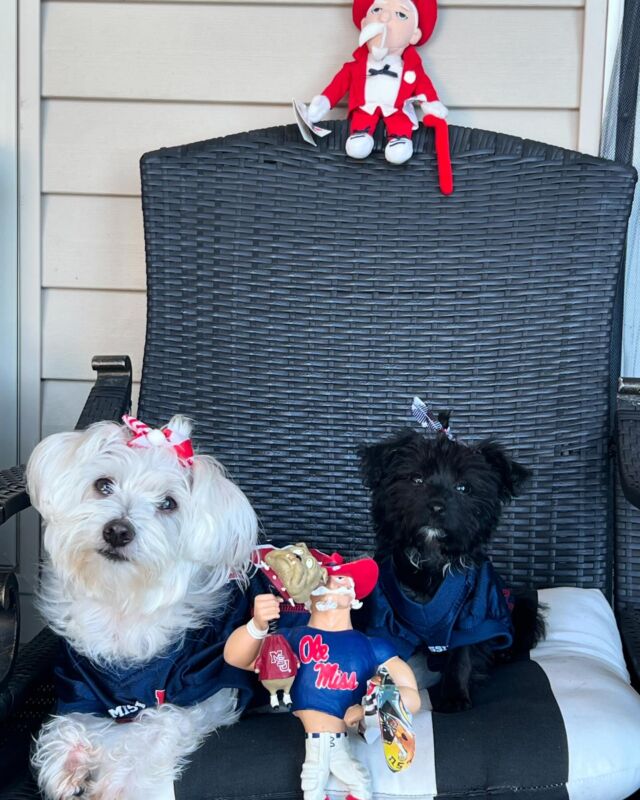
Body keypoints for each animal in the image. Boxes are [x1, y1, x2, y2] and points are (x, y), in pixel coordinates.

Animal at [27, 416, 258, 800]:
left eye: (168, 503)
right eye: (103, 485)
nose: (118, 531)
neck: (124, 601)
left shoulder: (206, 687)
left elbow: (153, 727)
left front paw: (118, 779)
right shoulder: (80, 681)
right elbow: (70, 719)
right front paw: (70, 756)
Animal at [358, 424, 544, 712]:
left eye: (464, 487)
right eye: (416, 479)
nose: (436, 506)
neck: (431, 558)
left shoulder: (474, 614)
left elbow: (461, 654)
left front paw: (455, 696)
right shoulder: (385, 618)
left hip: (521, 603)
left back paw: (506, 651)